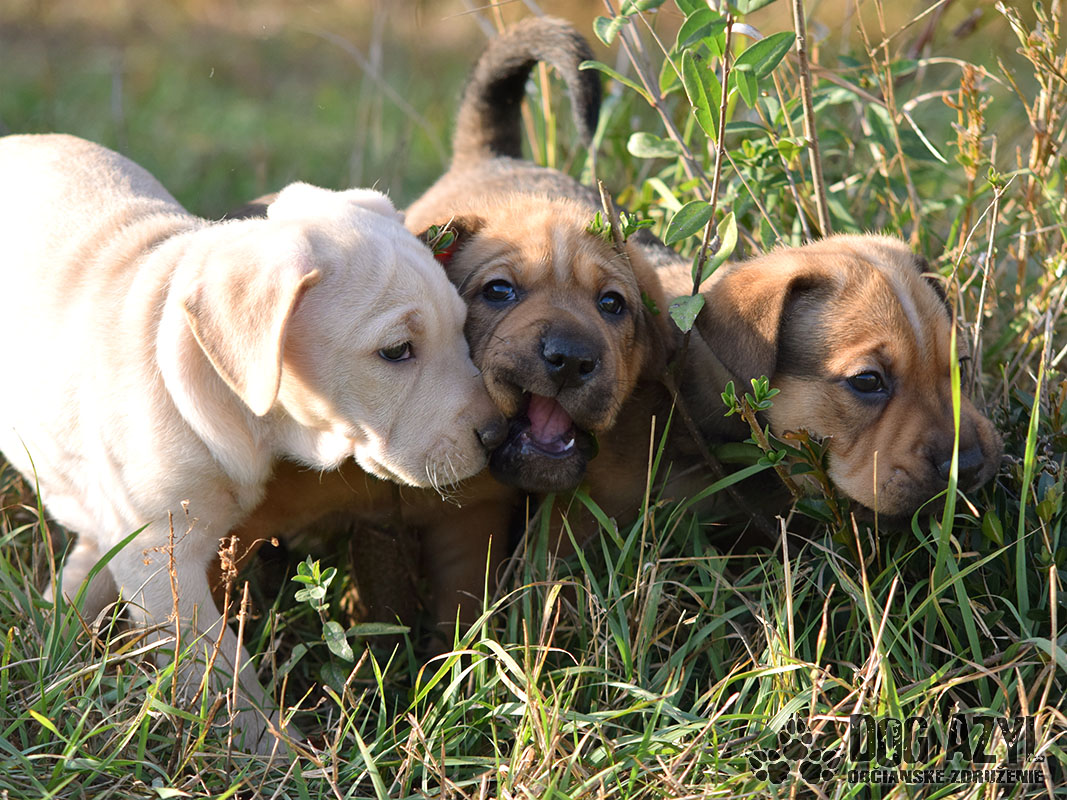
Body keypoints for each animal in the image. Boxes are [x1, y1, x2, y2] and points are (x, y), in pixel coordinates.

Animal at [0, 133, 504, 752]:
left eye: (462, 328)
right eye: (395, 351)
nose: (499, 435)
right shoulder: (160, 559)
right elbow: (223, 671)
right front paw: (277, 750)